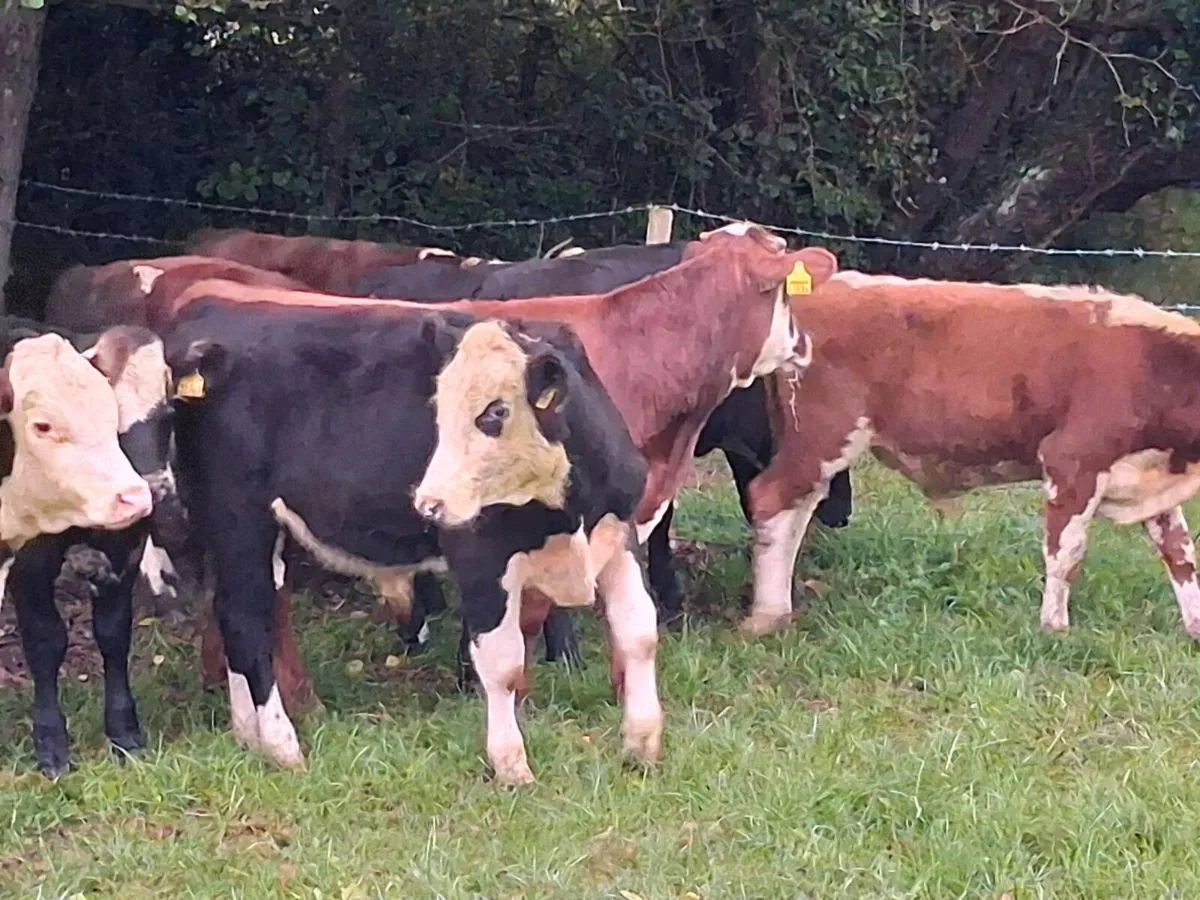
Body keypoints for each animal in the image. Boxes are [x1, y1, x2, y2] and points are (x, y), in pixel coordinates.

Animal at [0, 321, 183, 777]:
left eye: (169, 415)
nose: (147, 492)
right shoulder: (30, 559)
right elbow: (46, 641)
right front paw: (51, 743)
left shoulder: (125, 552)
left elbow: (113, 634)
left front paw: (124, 731)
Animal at [160, 298, 650, 782]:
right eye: (438, 409)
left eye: (495, 412)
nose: (429, 502)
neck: (569, 511)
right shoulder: (479, 555)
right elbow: (502, 662)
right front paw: (512, 767)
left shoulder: (620, 533)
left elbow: (638, 633)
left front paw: (642, 747)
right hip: (239, 521)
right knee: (247, 620)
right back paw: (282, 746)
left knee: (232, 614)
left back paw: (248, 734)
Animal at [733, 271, 1200, 640]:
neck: (1154, 365)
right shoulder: (1072, 459)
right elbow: (1066, 553)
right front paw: (1054, 629)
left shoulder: (1152, 477)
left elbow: (1180, 553)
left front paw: (1195, 628)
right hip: (823, 436)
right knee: (772, 499)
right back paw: (768, 617)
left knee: (795, 510)